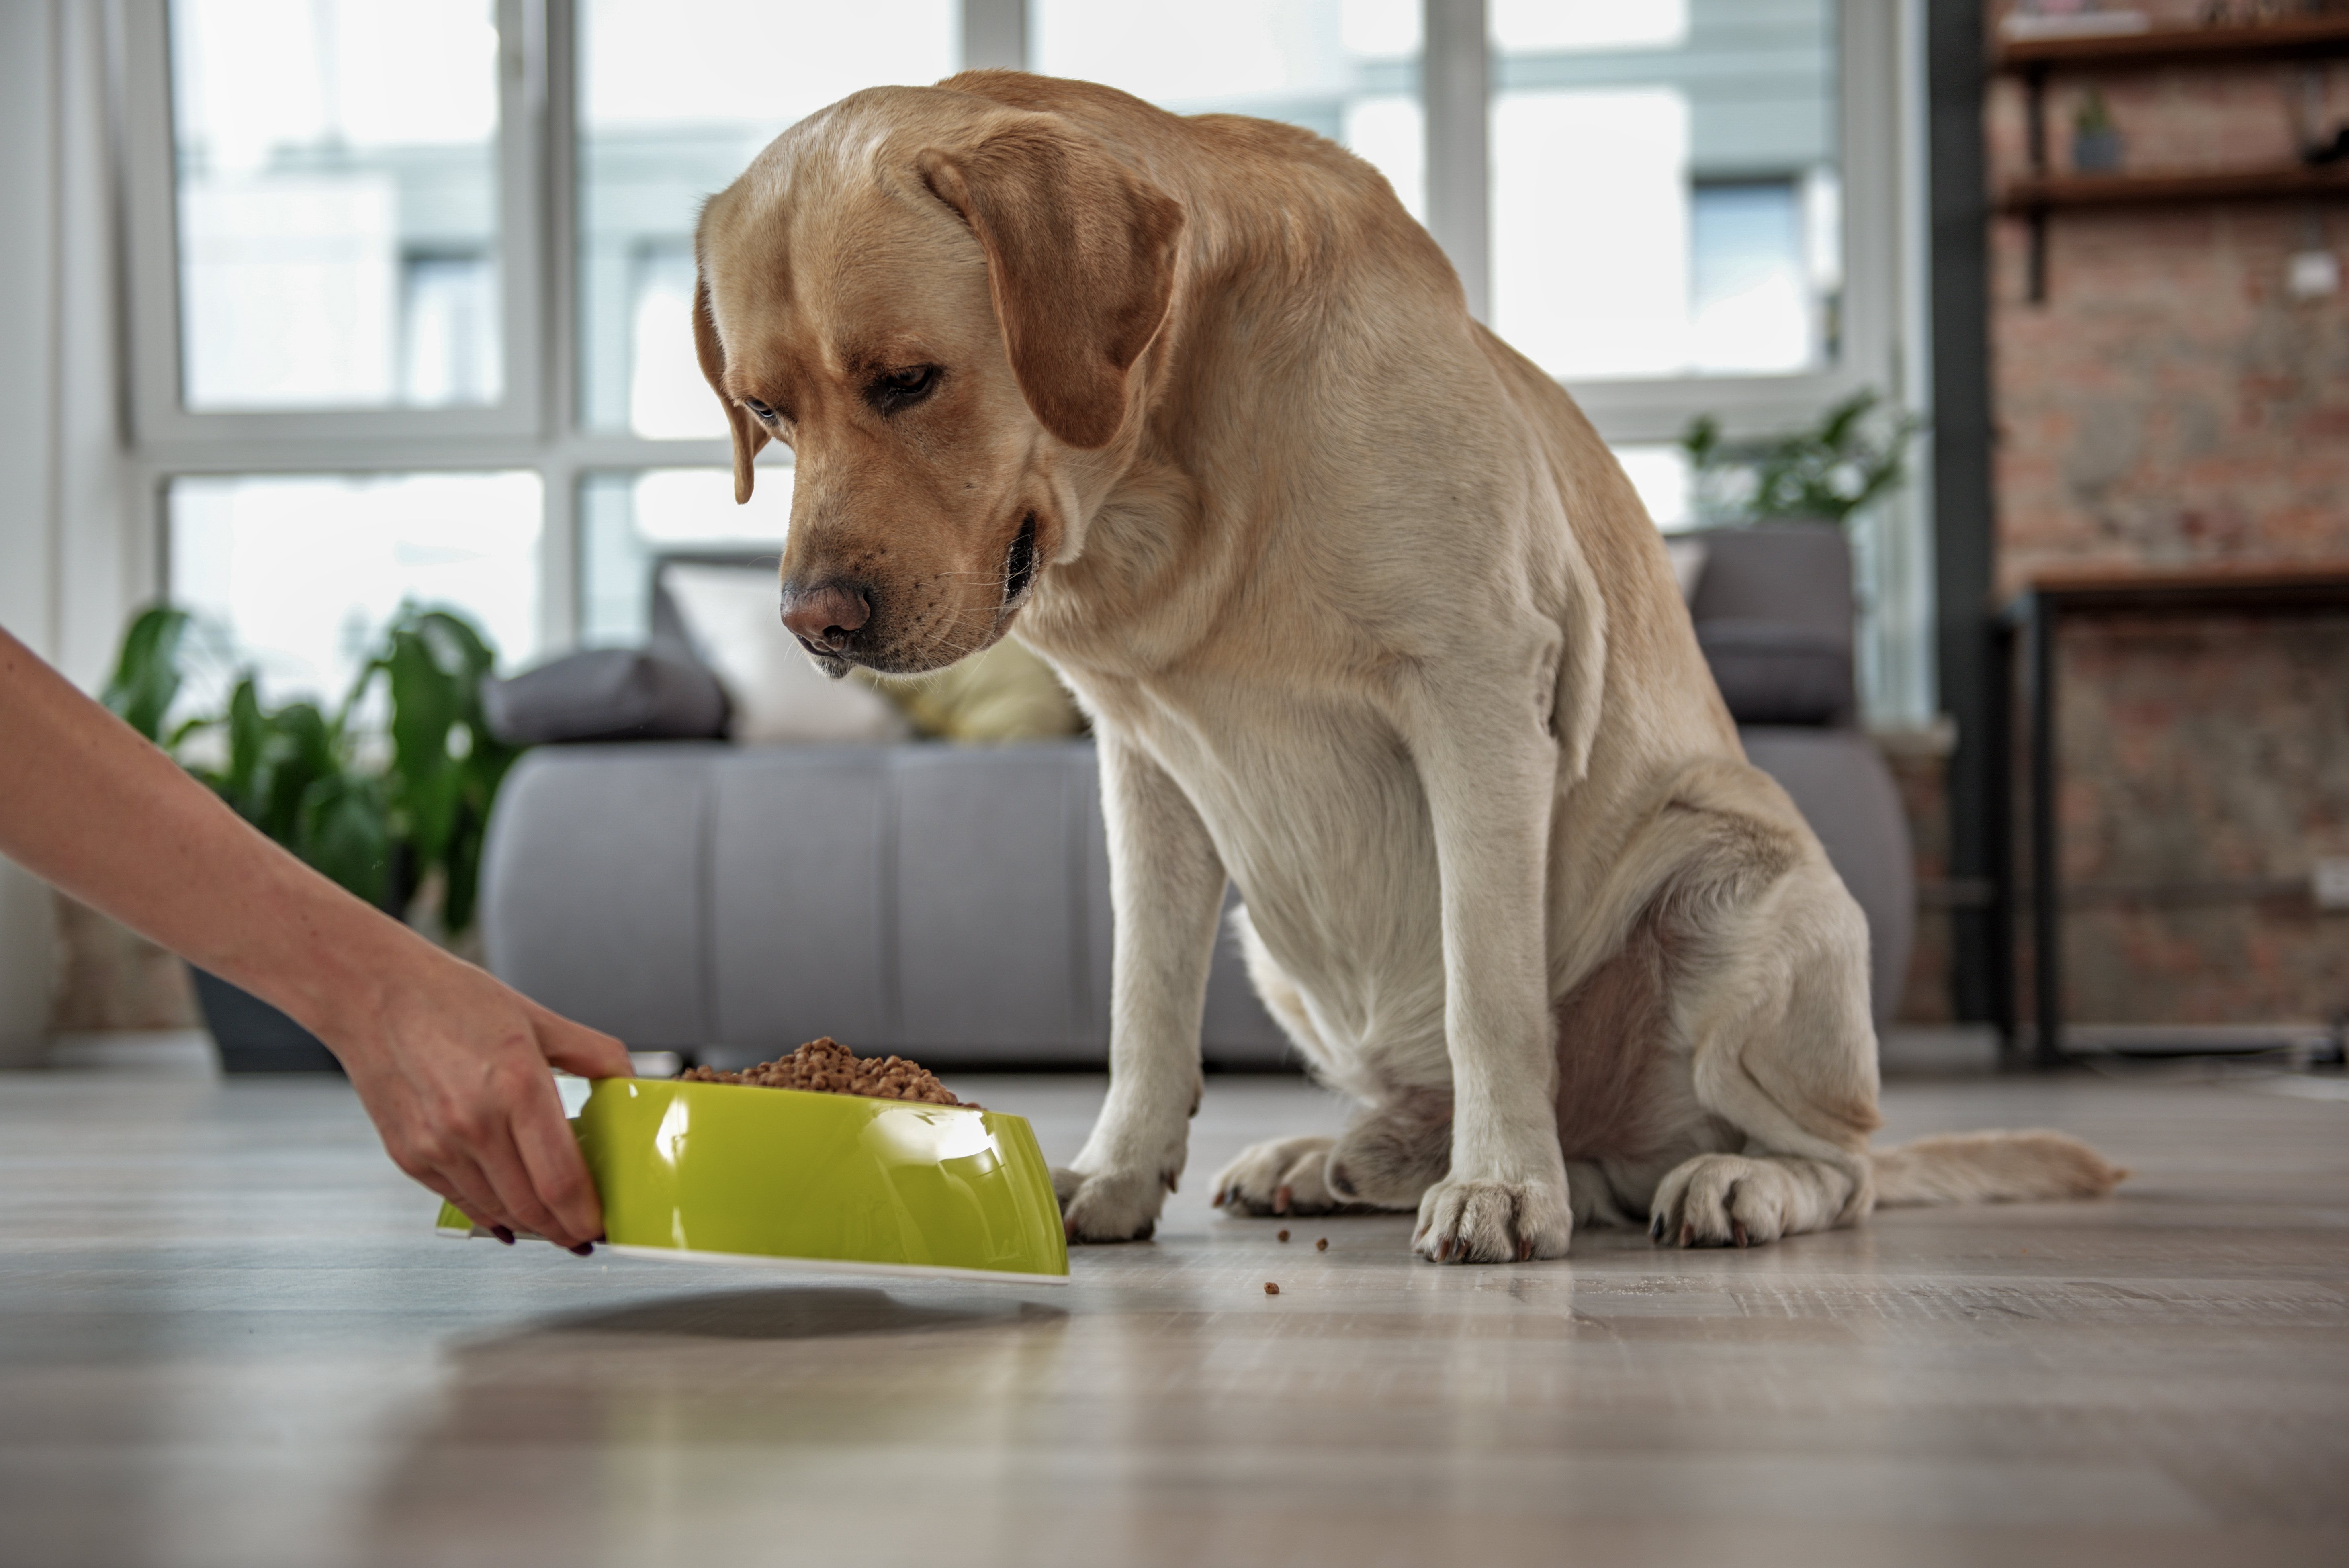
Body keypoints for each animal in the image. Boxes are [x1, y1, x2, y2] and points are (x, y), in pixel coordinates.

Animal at [686, 73, 2123, 1267]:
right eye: (763, 411)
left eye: (907, 380)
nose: (812, 622)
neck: (1172, 482)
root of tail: (1611, 1149)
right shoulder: (1143, 769)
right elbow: (1141, 1003)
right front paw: (1113, 1172)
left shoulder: (1476, 700)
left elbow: (1489, 984)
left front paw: (1501, 1189)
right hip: (1273, 937)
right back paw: (1332, 1157)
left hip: (1738, 883)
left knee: (1840, 1162)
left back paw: (1713, 1180)